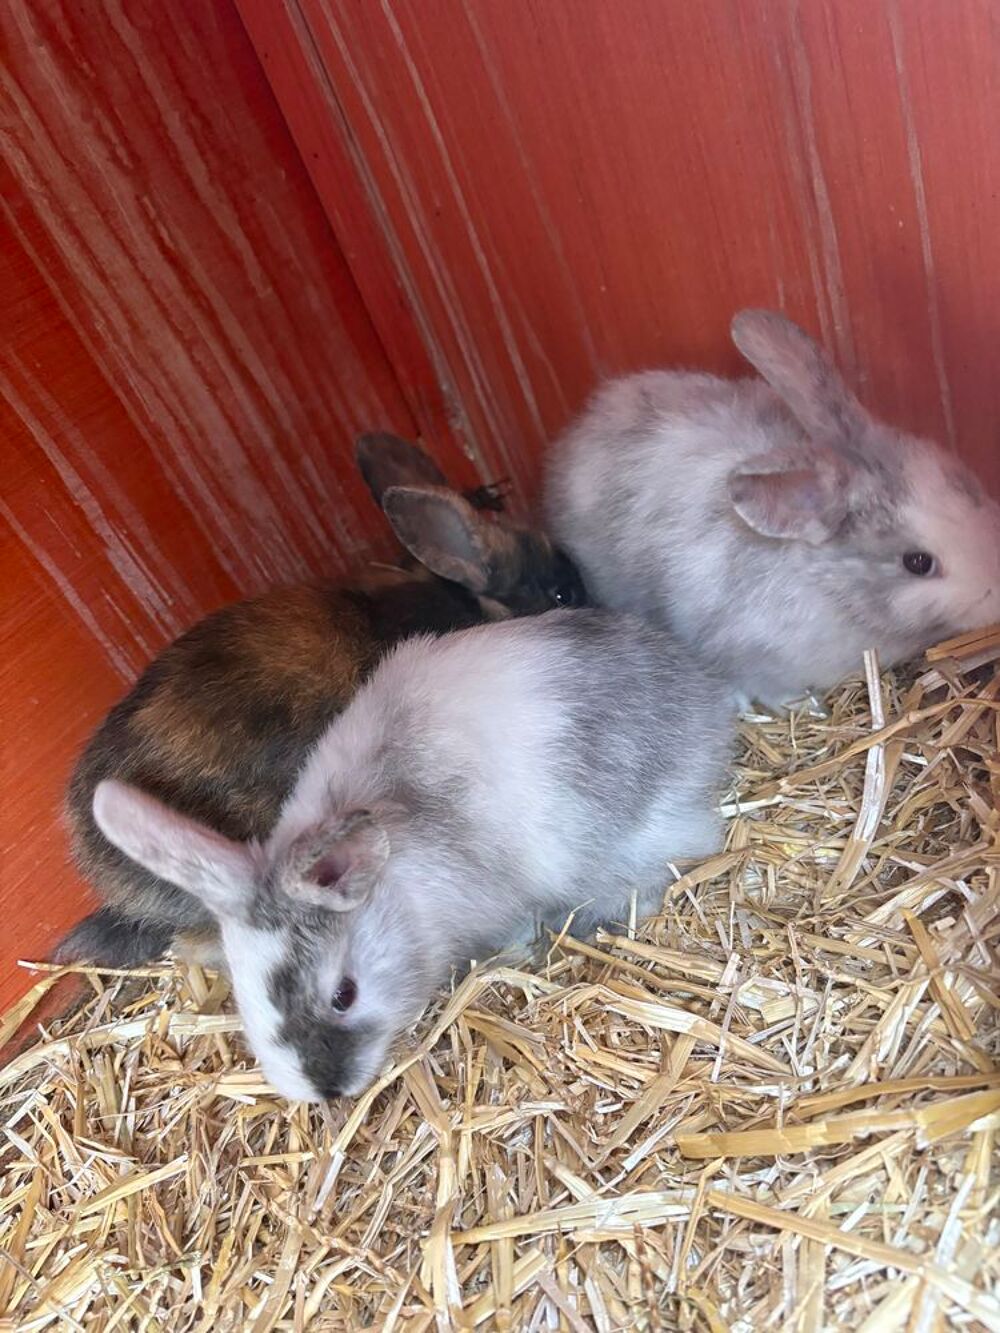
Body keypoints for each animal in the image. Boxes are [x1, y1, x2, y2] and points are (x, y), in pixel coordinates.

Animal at [90, 607, 734, 1101]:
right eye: (244, 996)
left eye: (344, 995)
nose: (327, 1092)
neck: (400, 894)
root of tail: (702, 698)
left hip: (644, 836)